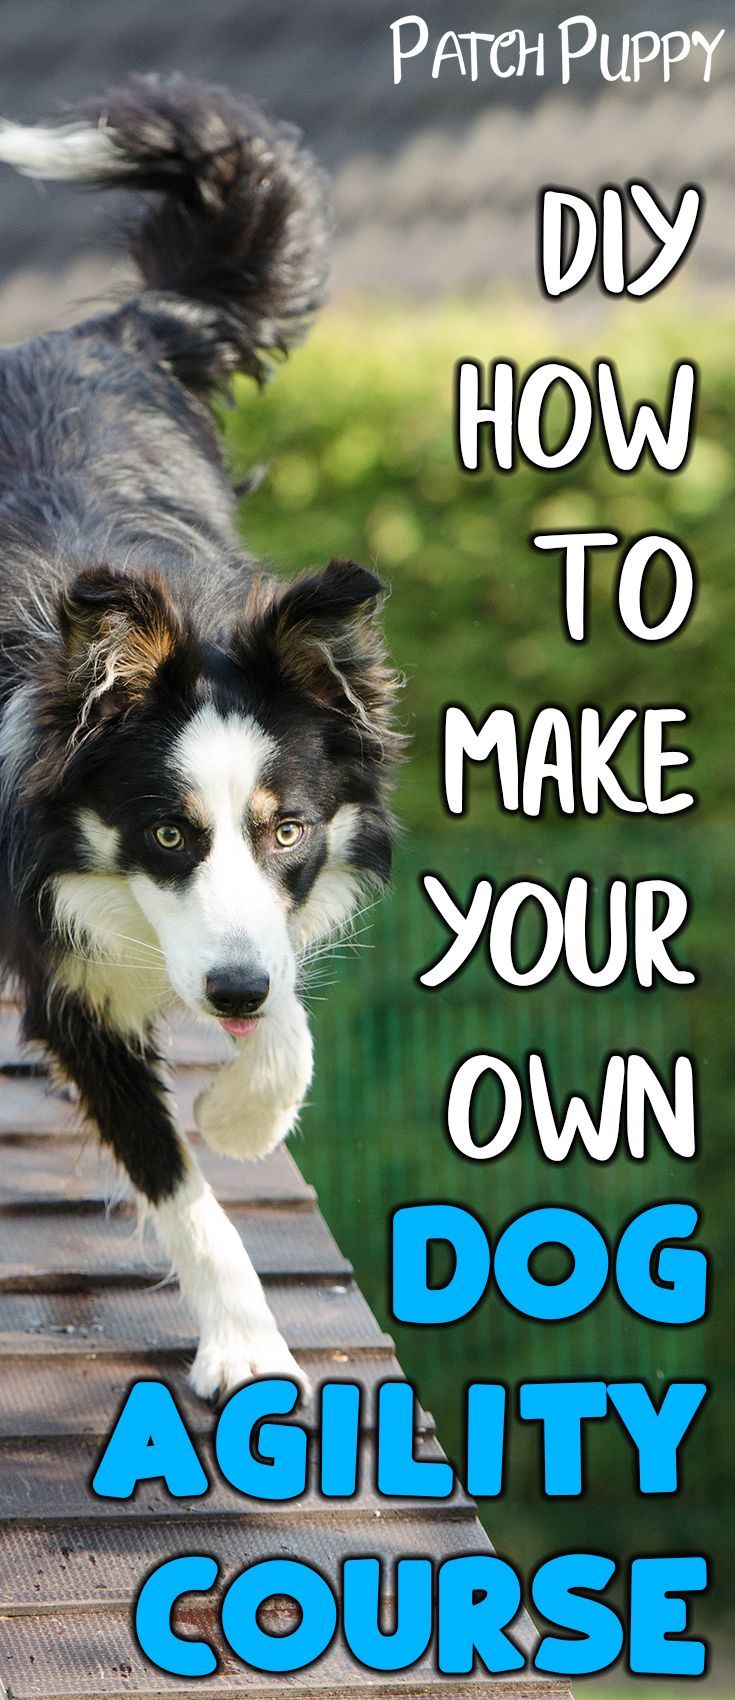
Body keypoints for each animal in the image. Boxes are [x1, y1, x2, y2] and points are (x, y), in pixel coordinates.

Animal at [0, 79, 399, 1400]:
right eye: (165, 833)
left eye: (285, 829)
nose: (227, 991)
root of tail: (115, 330)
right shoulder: (53, 952)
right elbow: (169, 1170)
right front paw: (248, 1339)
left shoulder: (265, 923)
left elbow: (283, 1013)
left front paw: (243, 1109)